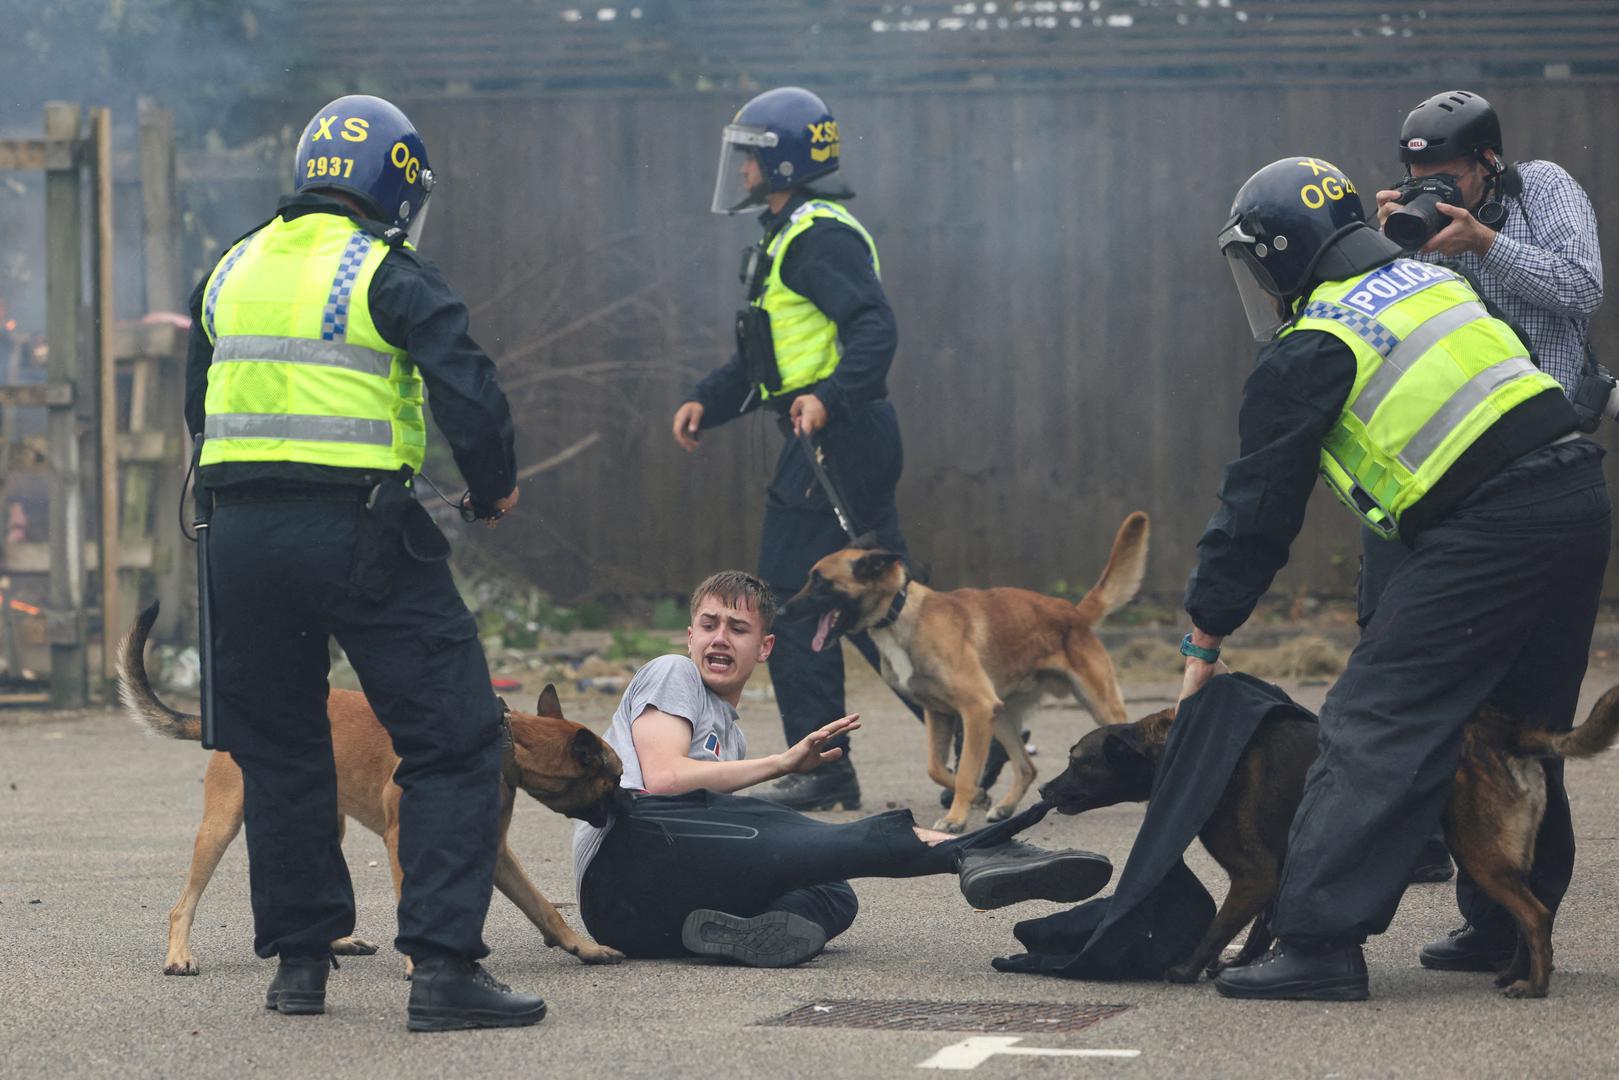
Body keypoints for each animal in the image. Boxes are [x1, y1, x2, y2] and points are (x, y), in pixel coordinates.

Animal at [114, 605, 628, 977]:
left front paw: (584, 947)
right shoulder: (404, 840)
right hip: (221, 825)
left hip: (325, 825)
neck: (502, 741)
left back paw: (334, 940)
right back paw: (179, 955)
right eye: (616, 778)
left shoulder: (496, 853)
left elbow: (544, 908)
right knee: (183, 903)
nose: (628, 807)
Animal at [786, 514, 1152, 835]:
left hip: (1095, 704)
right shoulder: (940, 714)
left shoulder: (974, 710)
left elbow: (962, 772)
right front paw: (977, 795)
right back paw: (1004, 806)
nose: (782, 608)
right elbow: (936, 768)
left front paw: (956, 818)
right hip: (1001, 716)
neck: (901, 613)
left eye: (819, 582)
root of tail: (1073, 612)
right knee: (1026, 766)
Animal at [1036, 689, 1619, 1003]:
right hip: (1501, 857)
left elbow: (1218, 928)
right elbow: (1260, 929)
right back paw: (1515, 972)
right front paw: (1242, 965)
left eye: (1076, 761)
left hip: (1480, 853)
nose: (1042, 790)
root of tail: (1507, 730)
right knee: (1531, 911)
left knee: (1536, 914)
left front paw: (1186, 971)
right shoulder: (1276, 873)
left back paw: (1534, 985)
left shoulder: (1253, 875)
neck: (1171, 745)